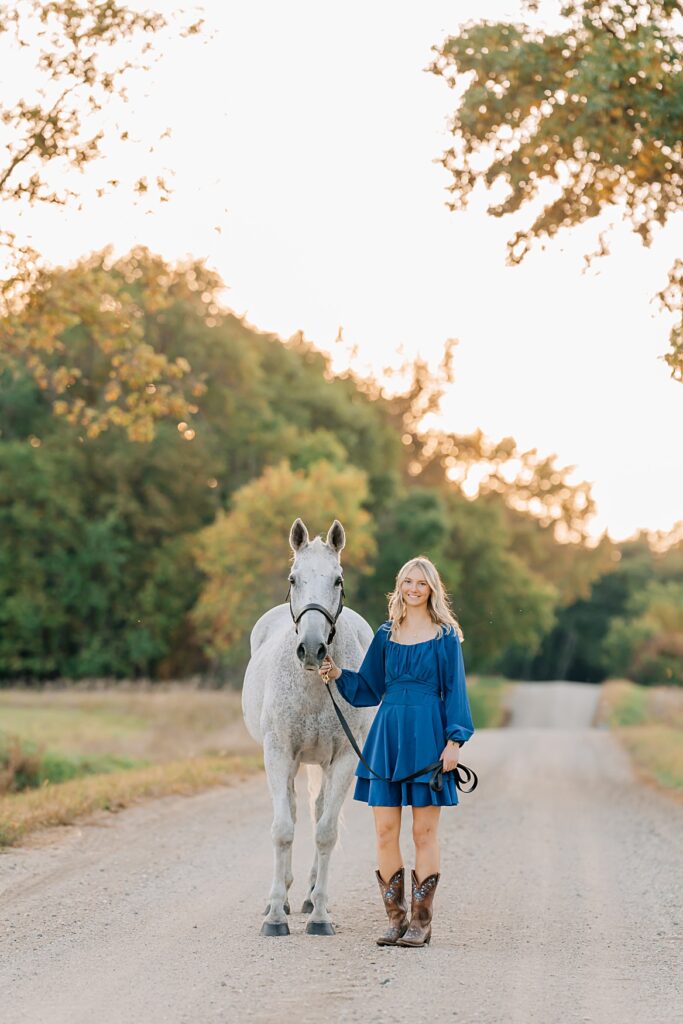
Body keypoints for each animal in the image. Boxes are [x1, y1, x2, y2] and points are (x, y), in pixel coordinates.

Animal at [242, 520, 374, 937]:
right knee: (296, 811)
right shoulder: (278, 752)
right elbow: (283, 829)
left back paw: (312, 896)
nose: (313, 649)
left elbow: (326, 832)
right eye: (293, 578)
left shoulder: (346, 757)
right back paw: (284, 897)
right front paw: (274, 916)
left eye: (337, 580)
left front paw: (319, 916)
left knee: (318, 815)